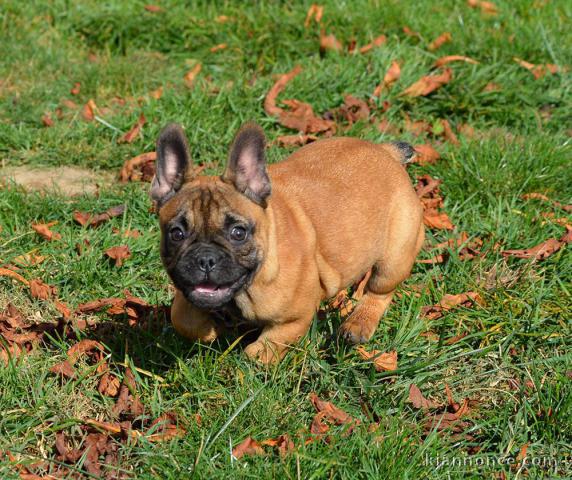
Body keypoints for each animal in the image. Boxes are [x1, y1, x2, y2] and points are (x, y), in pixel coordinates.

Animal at [152, 122, 424, 362]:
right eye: (176, 234)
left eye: (238, 233)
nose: (205, 259)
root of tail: (385, 152)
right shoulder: (187, 295)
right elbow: (181, 318)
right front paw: (212, 328)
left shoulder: (296, 317)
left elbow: (265, 349)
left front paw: (254, 357)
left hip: (395, 256)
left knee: (380, 291)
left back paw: (358, 323)